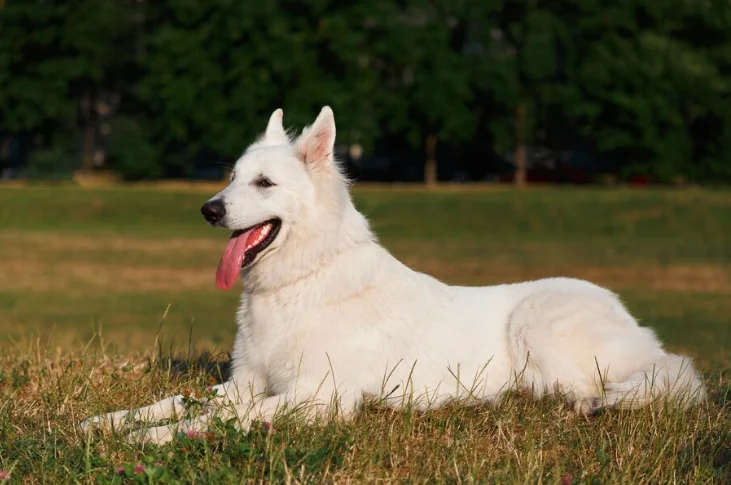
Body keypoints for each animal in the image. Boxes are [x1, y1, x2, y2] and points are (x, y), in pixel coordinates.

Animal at [83, 106, 708, 442]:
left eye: (263, 184)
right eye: (232, 177)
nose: (208, 210)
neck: (303, 281)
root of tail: (632, 322)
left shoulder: (319, 397)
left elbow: (218, 419)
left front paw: (155, 438)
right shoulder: (243, 383)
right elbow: (179, 400)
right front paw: (109, 422)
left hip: (538, 326)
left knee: (612, 386)